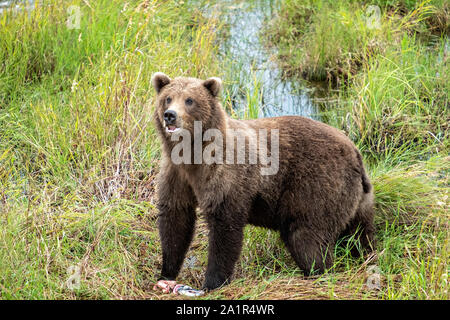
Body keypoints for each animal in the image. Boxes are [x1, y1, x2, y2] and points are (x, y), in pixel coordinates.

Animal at [150, 72, 372, 290]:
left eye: (189, 100)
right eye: (168, 98)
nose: (170, 115)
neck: (192, 154)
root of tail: (355, 151)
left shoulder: (225, 173)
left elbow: (224, 226)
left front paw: (212, 282)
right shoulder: (176, 173)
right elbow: (176, 218)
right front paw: (166, 273)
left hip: (317, 185)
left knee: (306, 237)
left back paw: (318, 272)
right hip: (357, 199)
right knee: (359, 235)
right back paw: (363, 256)